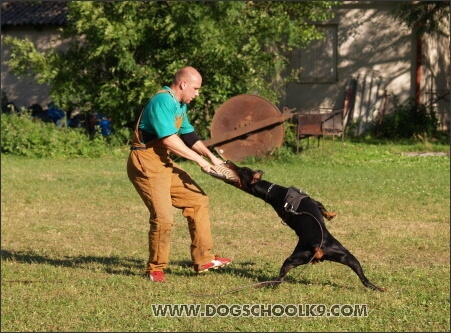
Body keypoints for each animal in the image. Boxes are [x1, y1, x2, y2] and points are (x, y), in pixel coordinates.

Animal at [224, 160, 386, 290]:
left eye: (242, 169)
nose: (228, 161)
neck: (276, 191)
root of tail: (318, 246)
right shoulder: (314, 201)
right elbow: (322, 206)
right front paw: (331, 215)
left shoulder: (312, 202)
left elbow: (323, 208)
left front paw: (331, 215)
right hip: (339, 257)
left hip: (329, 257)